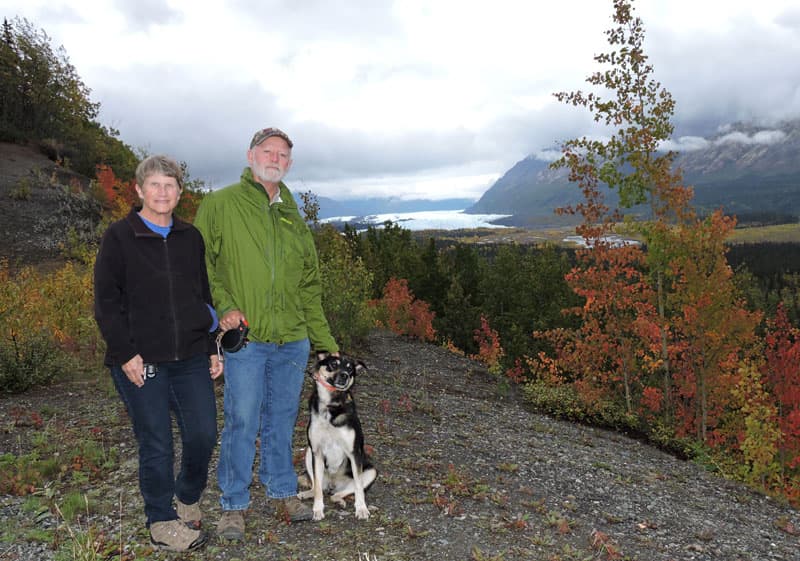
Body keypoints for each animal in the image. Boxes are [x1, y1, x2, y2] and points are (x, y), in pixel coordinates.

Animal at [298, 352, 376, 520]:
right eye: (333, 364)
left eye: (350, 369)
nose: (345, 375)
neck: (331, 405)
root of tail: (333, 484)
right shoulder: (317, 451)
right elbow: (318, 488)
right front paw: (317, 509)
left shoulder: (354, 453)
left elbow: (359, 487)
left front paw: (361, 508)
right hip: (308, 453)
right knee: (317, 487)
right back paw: (308, 494)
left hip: (371, 472)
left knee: (340, 493)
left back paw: (339, 500)